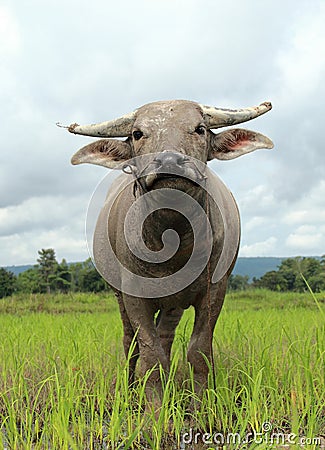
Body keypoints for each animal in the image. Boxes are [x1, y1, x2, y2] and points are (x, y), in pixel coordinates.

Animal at [63, 99, 270, 400]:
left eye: (200, 129)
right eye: (137, 133)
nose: (170, 162)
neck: (173, 240)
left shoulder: (214, 290)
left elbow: (199, 351)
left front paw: (200, 404)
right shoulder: (133, 296)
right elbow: (150, 355)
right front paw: (154, 407)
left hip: (174, 304)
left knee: (166, 337)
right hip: (121, 296)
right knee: (131, 342)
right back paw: (130, 389)